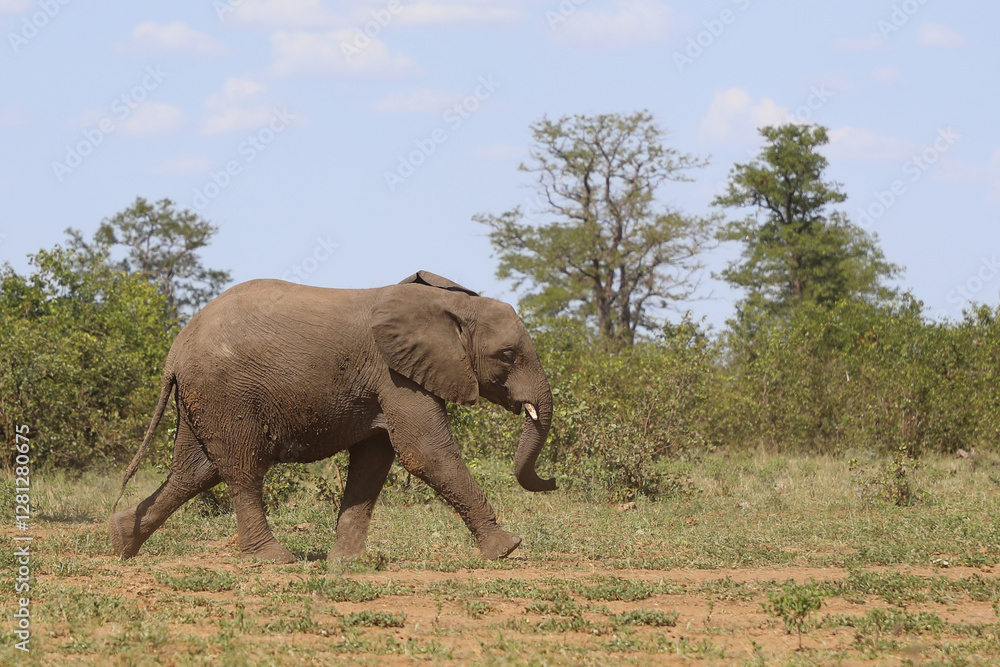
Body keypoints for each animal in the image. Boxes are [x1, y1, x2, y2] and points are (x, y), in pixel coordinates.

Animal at [108, 271, 556, 563]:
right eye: (507, 356)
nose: (551, 481)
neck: (451, 306)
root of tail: (175, 348)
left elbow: (373, 462)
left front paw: (347, 563)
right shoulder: (395, 373)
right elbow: (427, 454)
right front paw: (507, 548)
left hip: (202, 398)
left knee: (195, 471)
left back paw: (121, 542)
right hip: (225, 392)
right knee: (241, 468)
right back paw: (274, 559)